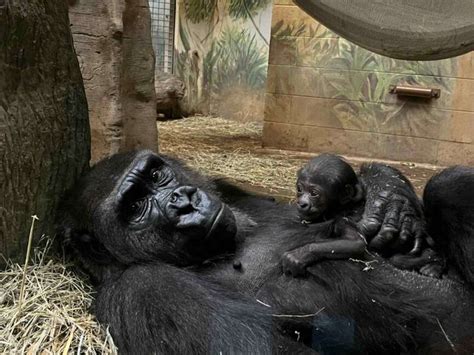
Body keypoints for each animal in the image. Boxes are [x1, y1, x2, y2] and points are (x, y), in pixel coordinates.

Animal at [282, 155, 440, 278]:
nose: (302, 203)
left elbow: (355, 242)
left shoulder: (343, 220)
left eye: (314, 193)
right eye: (300, 189)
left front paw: (300, 254)